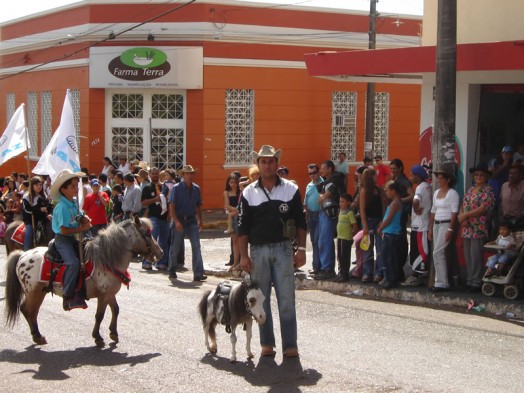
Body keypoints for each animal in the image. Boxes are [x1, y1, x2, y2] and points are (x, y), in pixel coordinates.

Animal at [4, 214, 162, 346]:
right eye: (148, 233)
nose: (160, 253)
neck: (106, 259)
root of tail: (22, 255)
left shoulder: (109, 293)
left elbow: (116, 310)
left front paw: (113, 333)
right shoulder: (103, 295)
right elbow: (99, 315)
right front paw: (98, 337)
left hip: (40, 292)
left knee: (32, 312)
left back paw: (38, 336)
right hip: (34, 292)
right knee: (27, 310)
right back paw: (37, 336)